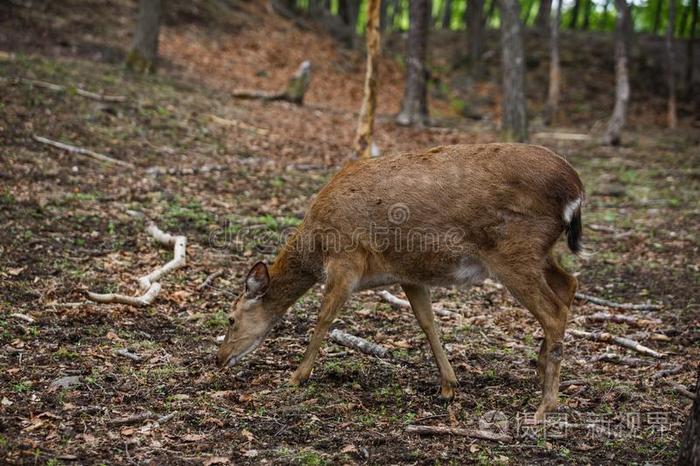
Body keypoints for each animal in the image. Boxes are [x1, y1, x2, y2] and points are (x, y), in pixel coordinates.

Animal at [216, 144, 584, 420]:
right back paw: (539, 371)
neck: (316, 247)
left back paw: (545, 405)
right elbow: (427, 322)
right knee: (568, 285)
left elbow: (323, 319)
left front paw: (296, 377)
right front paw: (449, 385)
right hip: (539, 253)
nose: (219, 358)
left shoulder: (346, 260)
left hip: (515, 251)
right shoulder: (408, 274)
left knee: (553, 310)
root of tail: (576, 189)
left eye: (231, 319)